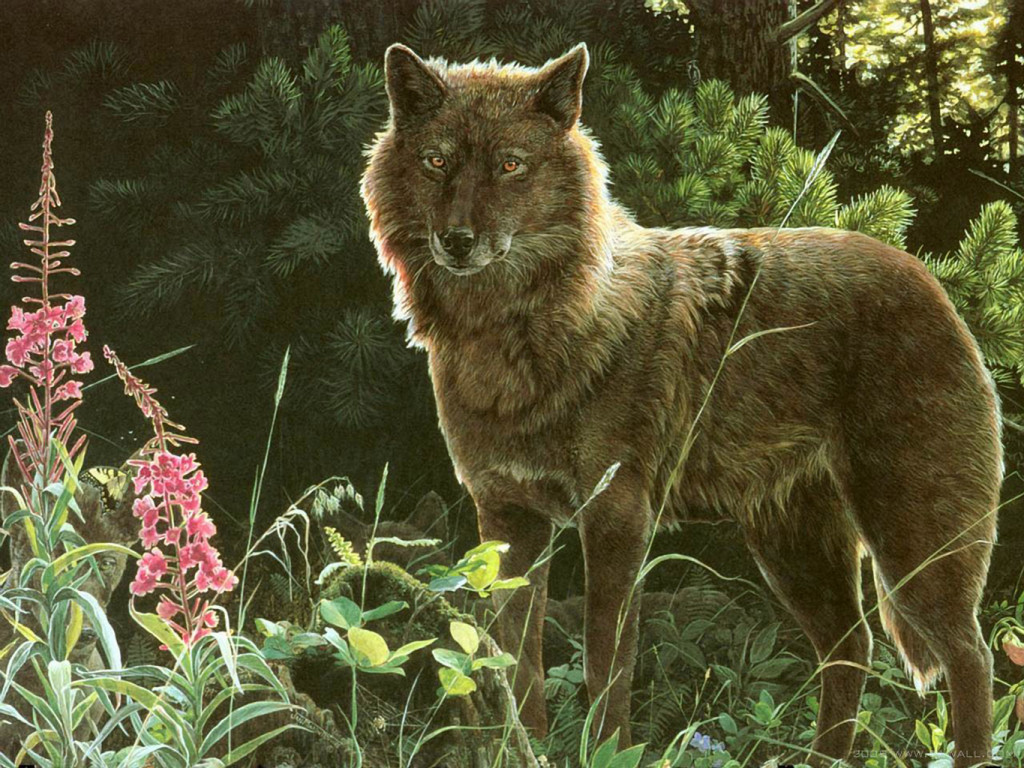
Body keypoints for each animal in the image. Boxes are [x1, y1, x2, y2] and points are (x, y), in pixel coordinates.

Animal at [361, 43, 1002, 768]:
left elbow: (605, 665)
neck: (519, 337)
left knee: (970, 657)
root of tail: (930, 280)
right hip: (793, 549)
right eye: (437, 161)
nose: (458, 240)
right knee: (851, 649)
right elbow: (516, 665)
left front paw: (605, 750)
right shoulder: (507, 516)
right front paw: (526, 749)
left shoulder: (616, 518)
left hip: (911, 544)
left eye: (510, 165)